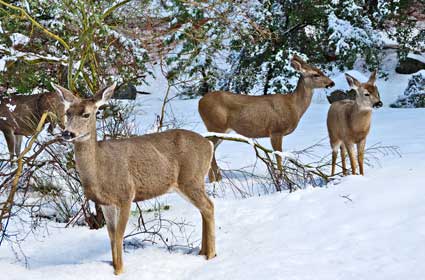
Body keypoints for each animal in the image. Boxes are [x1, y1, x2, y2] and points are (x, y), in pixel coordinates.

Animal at [51, 83, 215, 276]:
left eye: (86, 114)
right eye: (67, 112)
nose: (67, 133)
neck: (100, 170)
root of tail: (209, 144)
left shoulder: (126, 194)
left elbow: (119, 234)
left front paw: (120, 271)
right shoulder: (106, 203)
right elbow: (111, 235)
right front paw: (114, 267)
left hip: (191, 178)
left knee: (209, 206)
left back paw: (211, 255)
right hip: (188, 182)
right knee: (203, 209)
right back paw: (202, 252)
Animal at [199, 54, 334, 182]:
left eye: (321, 70)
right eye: (315, 74)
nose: (332, 83)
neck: (294, 106)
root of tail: (200, 102)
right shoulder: (276, 130)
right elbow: (278, 156)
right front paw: (281, 178)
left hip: (222, 129)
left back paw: (213, 180)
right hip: (216, 124)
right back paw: (217, 179)